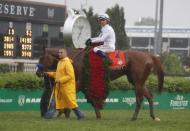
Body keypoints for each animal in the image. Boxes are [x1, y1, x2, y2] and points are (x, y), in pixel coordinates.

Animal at [36, 47, 164, 121]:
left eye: (41, 58)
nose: (37, 72)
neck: (76, 59)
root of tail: (149, 55)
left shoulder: (80, 82)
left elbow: (72, 96)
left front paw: (63, 111)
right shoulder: (84, 84)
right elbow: (91, 99)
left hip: (137, 81)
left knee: (139, 99)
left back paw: (134, 117)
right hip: (136, 81)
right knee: (149, 96)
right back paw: (153, 116)